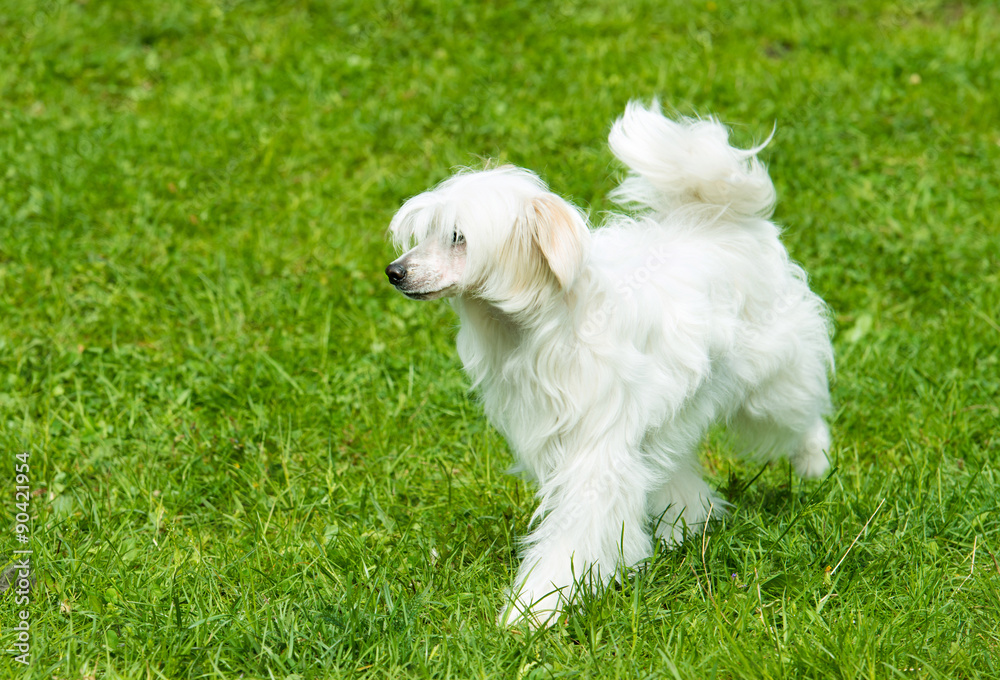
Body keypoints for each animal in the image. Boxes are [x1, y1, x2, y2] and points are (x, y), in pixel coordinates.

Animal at [386, 101, 832, 628]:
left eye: (458, 237)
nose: (394, 272)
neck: (545, 327)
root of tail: (723, 219)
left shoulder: (596, 453)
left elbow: (576, 532)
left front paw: (535, 607)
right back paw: (688, 521)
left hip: (772, 386)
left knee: (801, 415)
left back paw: (814, 466)